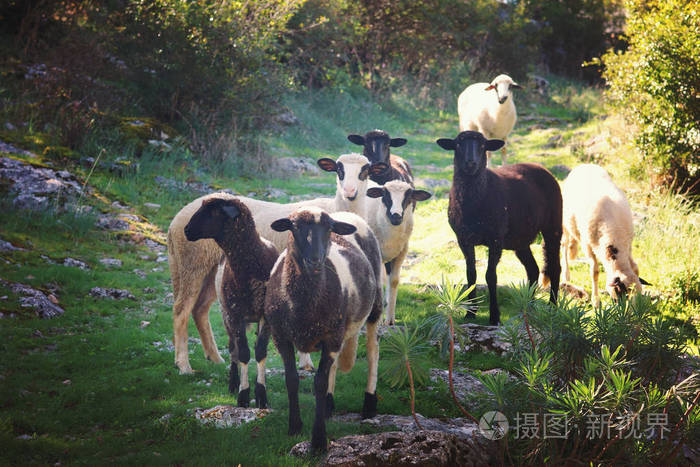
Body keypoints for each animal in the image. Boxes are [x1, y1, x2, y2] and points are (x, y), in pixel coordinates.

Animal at [264, 208, 382, 454]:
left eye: (328, 229)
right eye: (295, 227)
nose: (315, 259)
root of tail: (345, 213)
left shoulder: (330, 338)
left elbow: (318, 382)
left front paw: (318, 441)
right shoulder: (281, 337)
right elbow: (292, 379)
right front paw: (295, 427)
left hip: (374, 305)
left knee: (373, 352)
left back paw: (369, 404)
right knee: (334, 367)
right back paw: (328, 406)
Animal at [434, 129, 560, 326]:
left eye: (483, 145)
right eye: (458, 144)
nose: (471, 163)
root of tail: (541, 168)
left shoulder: (495, 239)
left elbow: (490, 276)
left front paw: (494, 317)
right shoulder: (463, 239)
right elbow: (471, 274)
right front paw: (470, 313)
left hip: (553, 225)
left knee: (555, 266)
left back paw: (553, 307)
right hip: (519, 239)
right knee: (533, 269)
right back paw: (529, 308)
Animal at [556, 164, 652, 304]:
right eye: (620, 295)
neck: (614, 232)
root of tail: (585, 165)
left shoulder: (628, 246)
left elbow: (635, 267)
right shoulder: (588, 245)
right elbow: (594, 271)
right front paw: (596, 301)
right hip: (565, 223)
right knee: (564, 247)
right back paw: (566, 275)